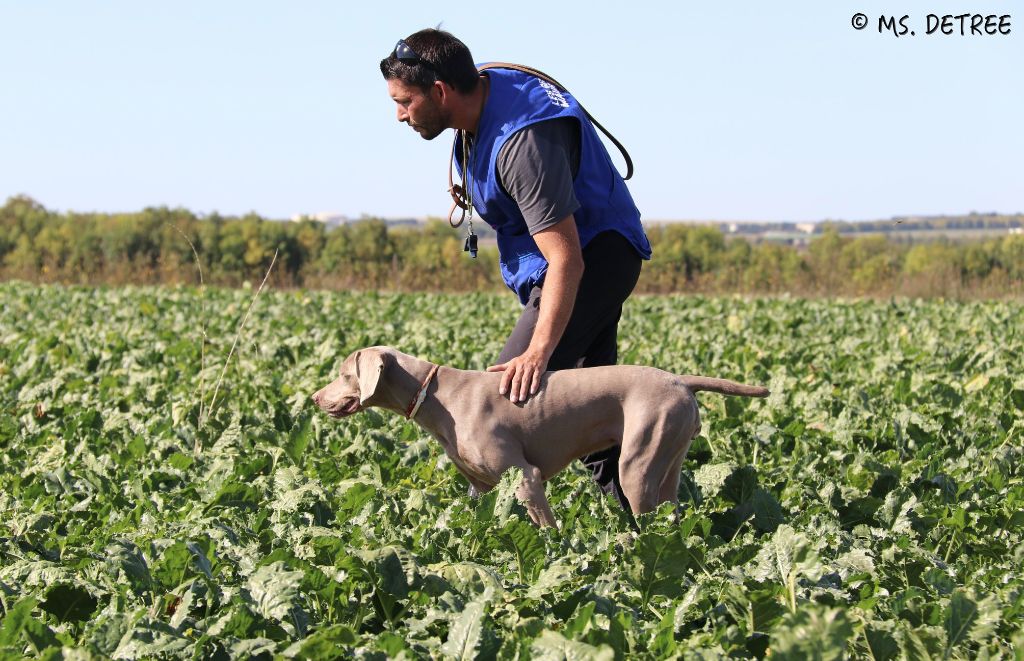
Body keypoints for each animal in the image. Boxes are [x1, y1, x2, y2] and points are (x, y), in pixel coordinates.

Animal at [311, 347, 770, 527]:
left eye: (344, 374)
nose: (314, 398)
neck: (436, 394)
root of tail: (680, 380)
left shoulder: (526, 479)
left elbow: (549, 529)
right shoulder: (484, 489)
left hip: (637, 467)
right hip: (668, 464)